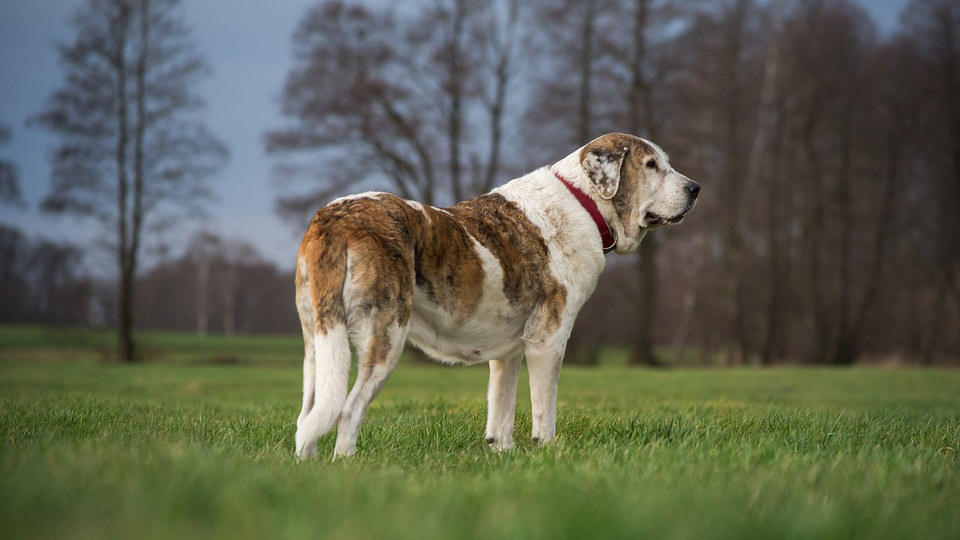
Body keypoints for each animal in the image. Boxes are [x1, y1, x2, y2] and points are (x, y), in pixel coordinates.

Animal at [290, 133, 696, 458]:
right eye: (651, 165)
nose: (695, 188)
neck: (583, 202)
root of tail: (335, 217)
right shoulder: (548, 341)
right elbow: (544, 411)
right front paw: (546, 453)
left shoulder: (508, 354)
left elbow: (501, 412)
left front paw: (503, 455)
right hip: (386, 338)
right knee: (347, 411)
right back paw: (345, 463)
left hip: (317, 344)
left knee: (307, 418)